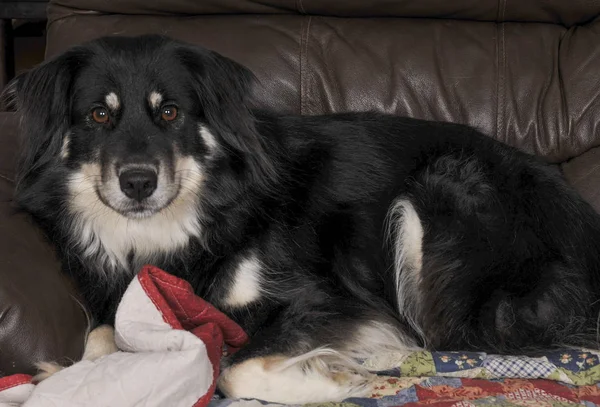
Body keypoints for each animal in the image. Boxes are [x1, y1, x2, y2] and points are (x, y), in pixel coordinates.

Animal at [3, 35, 600, 404]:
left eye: (170, 112)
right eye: (98, 115)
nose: (137, 182)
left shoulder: (321, 297)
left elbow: (234, 369)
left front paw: (332, 380)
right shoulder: (116, 298)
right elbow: (100, 338)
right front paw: (58, 376)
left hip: (438, 198)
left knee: (441, 333)